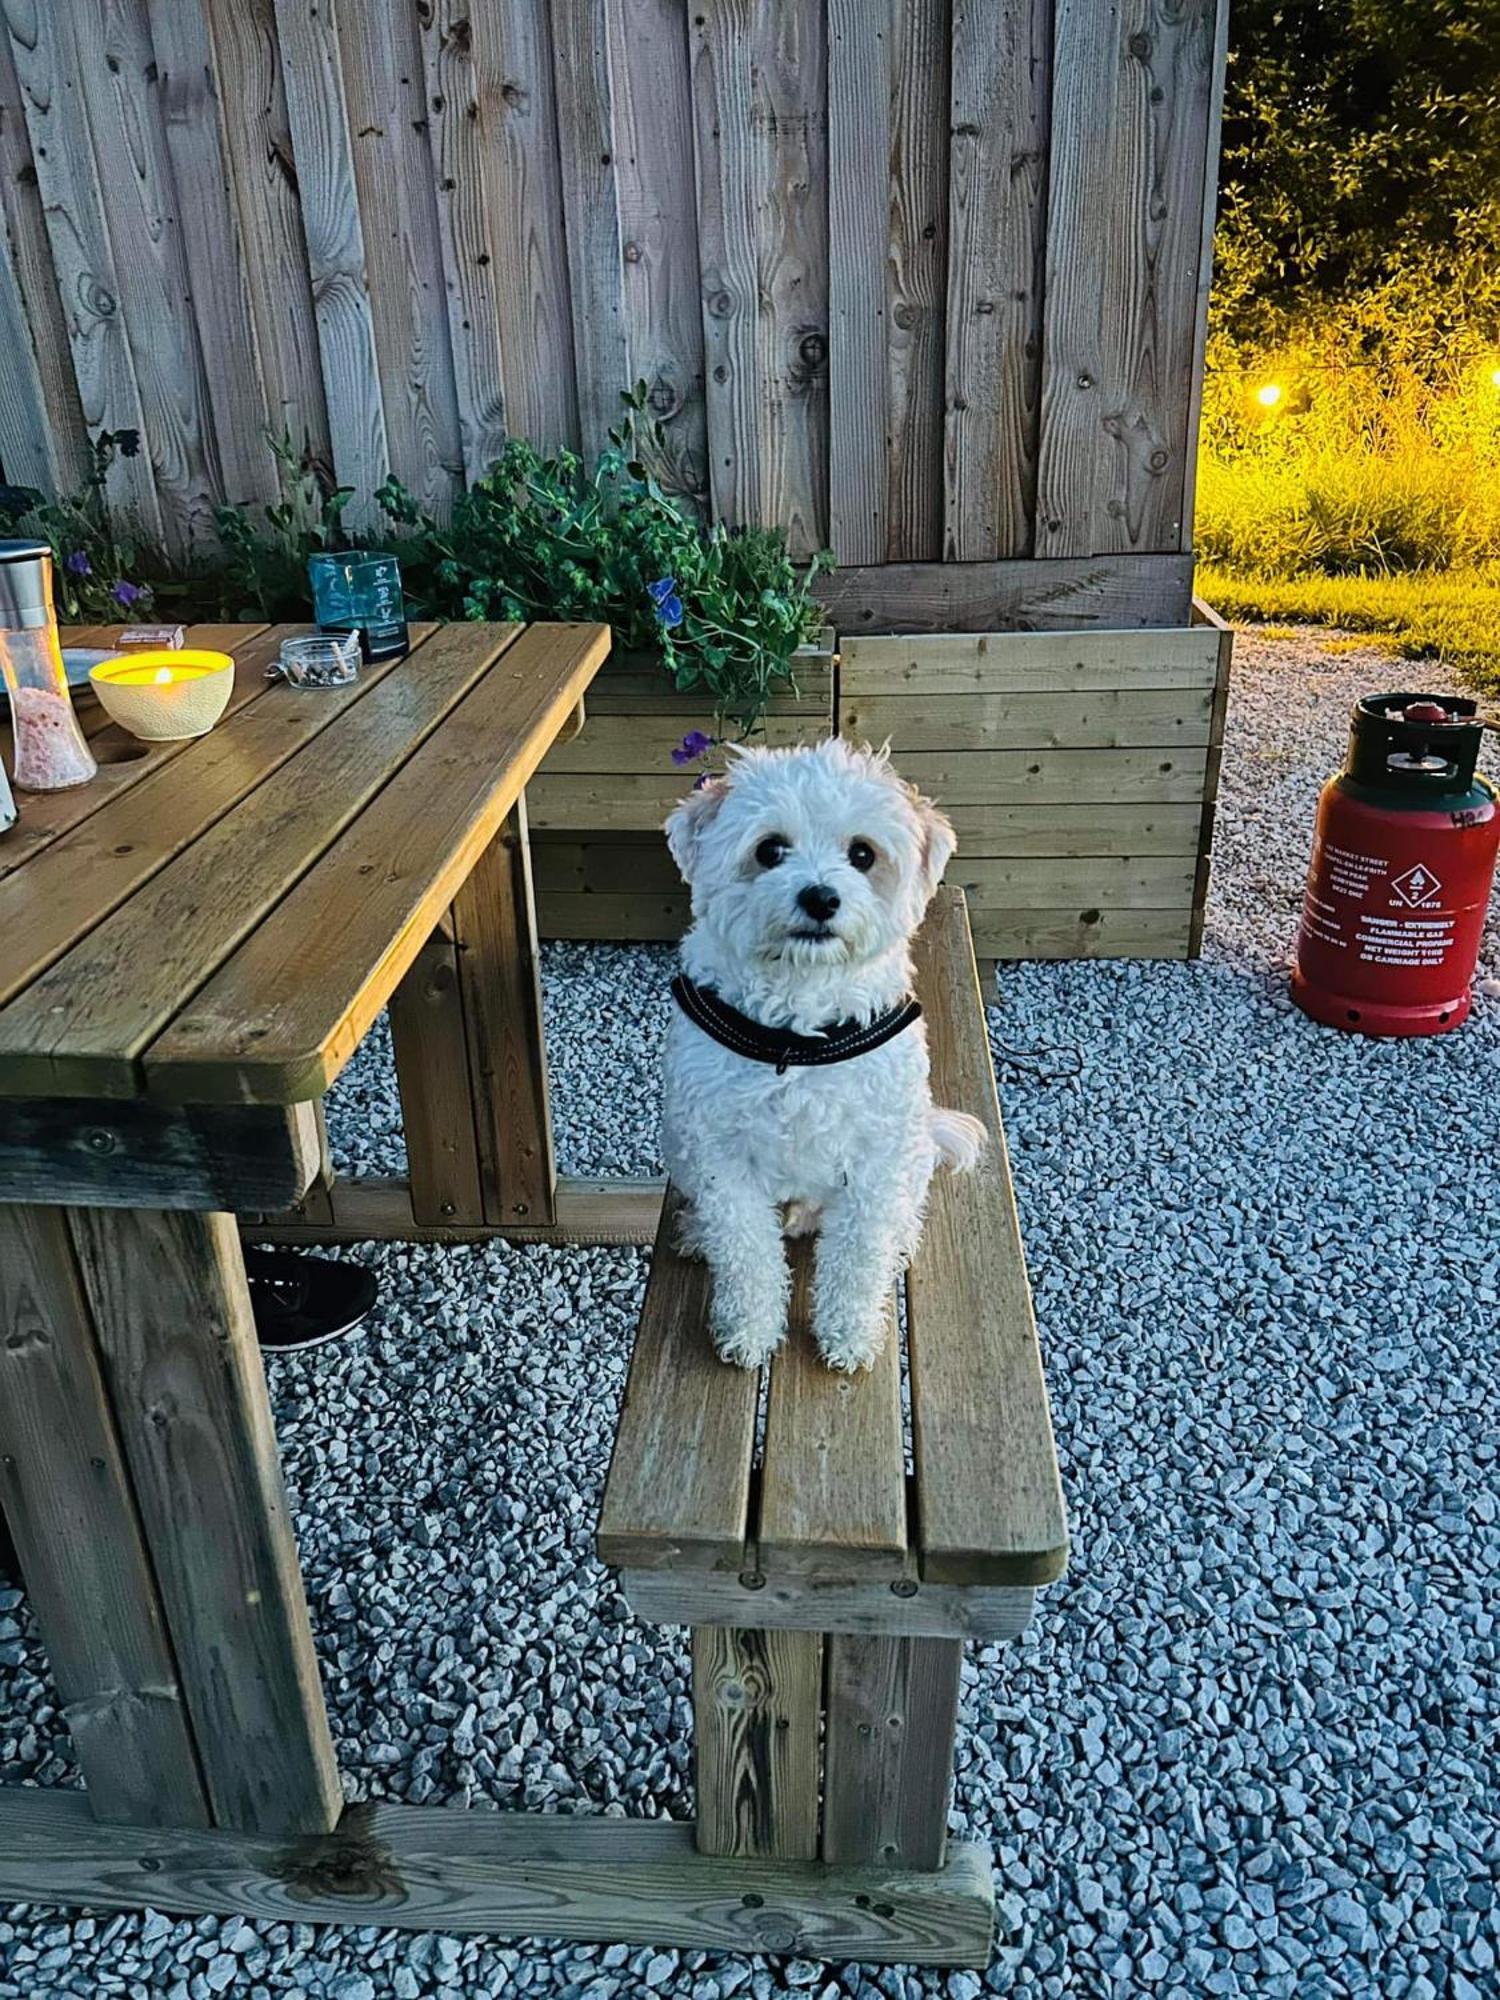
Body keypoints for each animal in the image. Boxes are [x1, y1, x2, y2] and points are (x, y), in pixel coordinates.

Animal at [668, 740, 988, 1376]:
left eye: (862, 854)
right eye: (770, 849)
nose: (819, 896)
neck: (797, 1036)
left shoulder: (875, 1161)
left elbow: (858, 1257)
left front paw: (849, 1333)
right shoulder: (720, 1159)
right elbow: (745, 1252)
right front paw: (748, 1329)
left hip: (911, 1153)